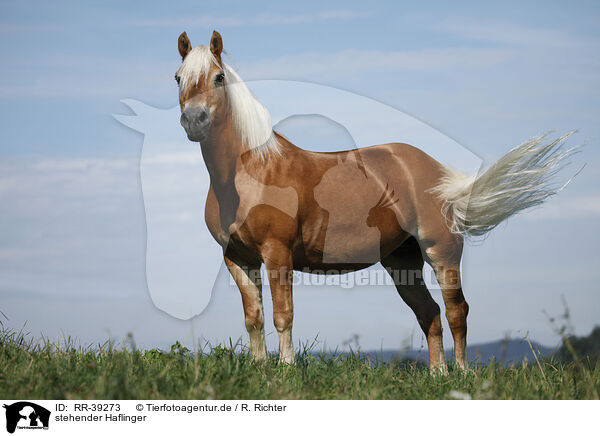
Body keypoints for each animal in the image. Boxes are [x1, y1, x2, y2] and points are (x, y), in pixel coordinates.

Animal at [173, 30, 576, 372]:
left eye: (218, 77)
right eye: (178, 77)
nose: (194, 120)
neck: (251, 172)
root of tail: (436, 173)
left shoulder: (277, 252)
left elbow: (282, 314)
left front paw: (285, 372)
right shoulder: (237, 258)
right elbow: (253, 318)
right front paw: (260, 372)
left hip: (442, 252)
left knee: (456, 310)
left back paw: (461, 373)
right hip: (402, 261)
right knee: (429, 313)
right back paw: (438, 376)